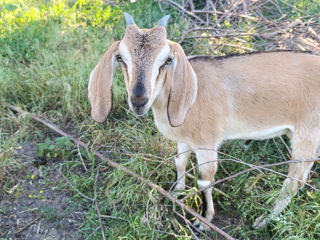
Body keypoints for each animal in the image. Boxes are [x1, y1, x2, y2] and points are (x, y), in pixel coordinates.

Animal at [88, 13, 320, 231]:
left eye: (167, 60)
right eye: (120, 58)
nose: (139, 101)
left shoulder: (206, 142)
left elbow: (204, 179)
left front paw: (204, 220)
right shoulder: (184, 140)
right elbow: (180, 162)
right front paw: (177, 192)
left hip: (307, 133)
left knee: (293, 182)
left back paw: (263, 220)